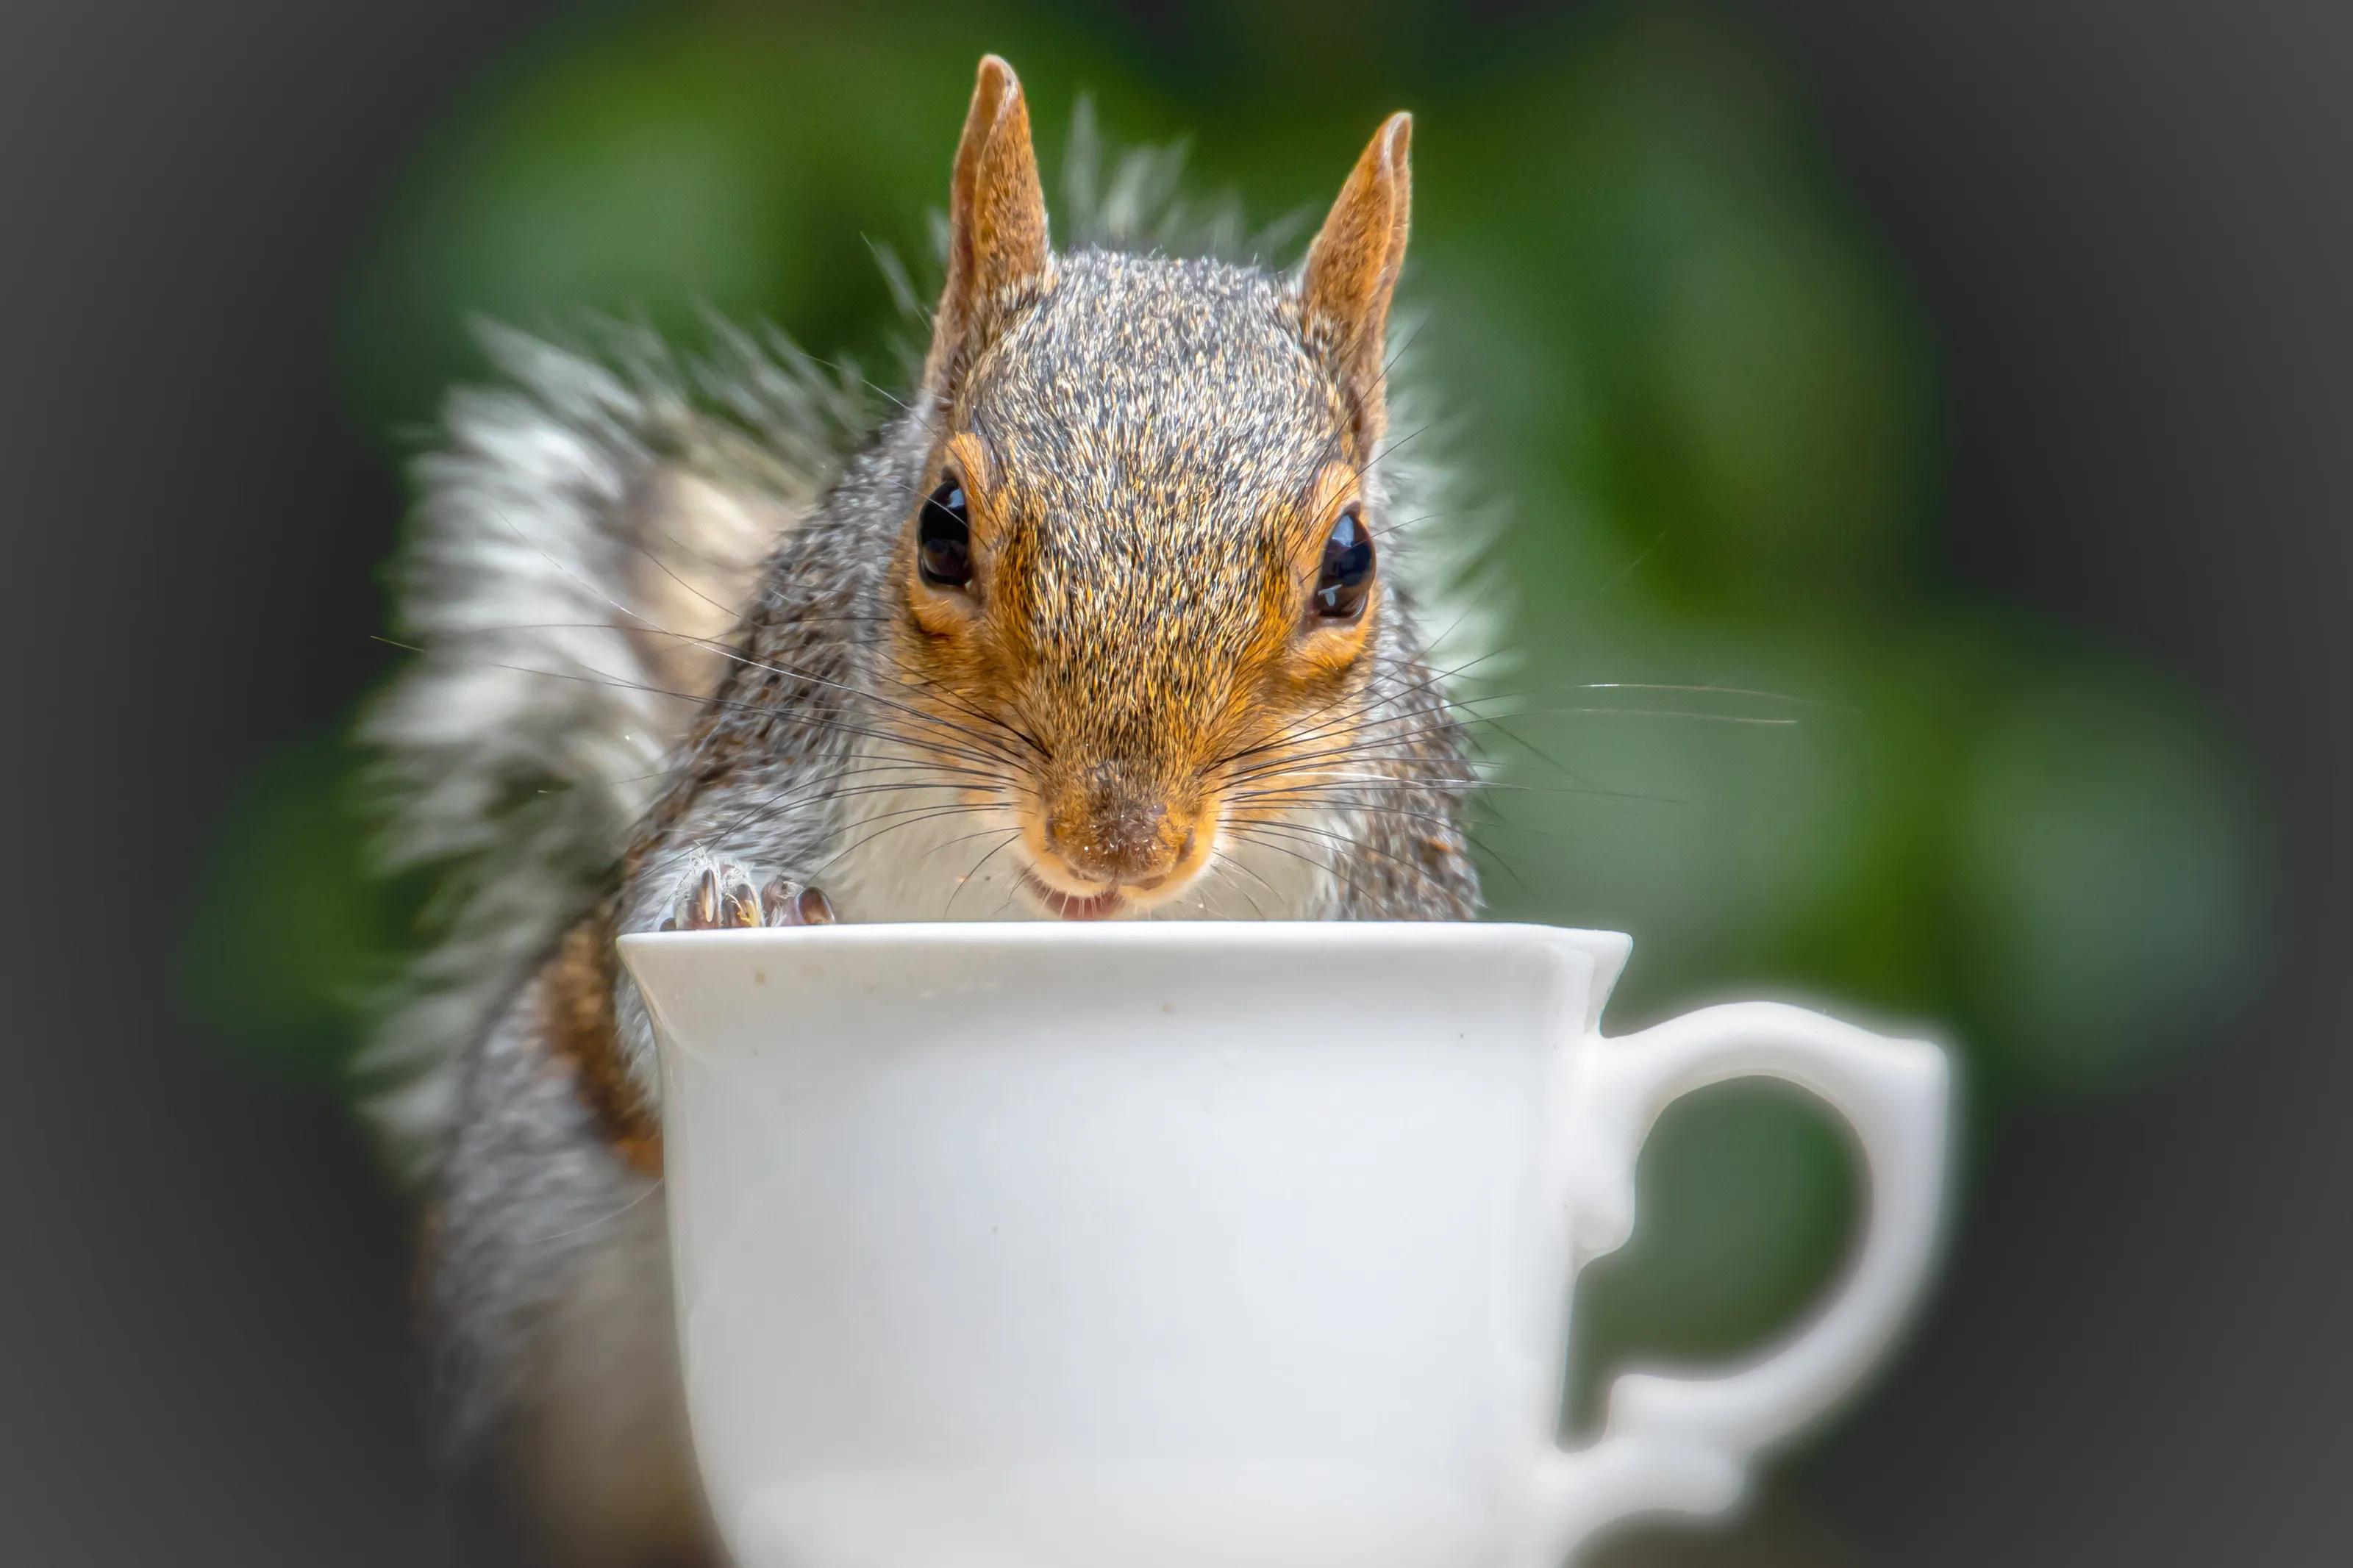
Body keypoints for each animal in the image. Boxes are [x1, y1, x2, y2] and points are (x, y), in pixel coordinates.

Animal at [361, 56, 1480, 1567]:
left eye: (1352, 563)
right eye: (941, 524)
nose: (1113, 845)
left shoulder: (1398, 867)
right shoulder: (772, 746)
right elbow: (667, 953)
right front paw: (741, 909)